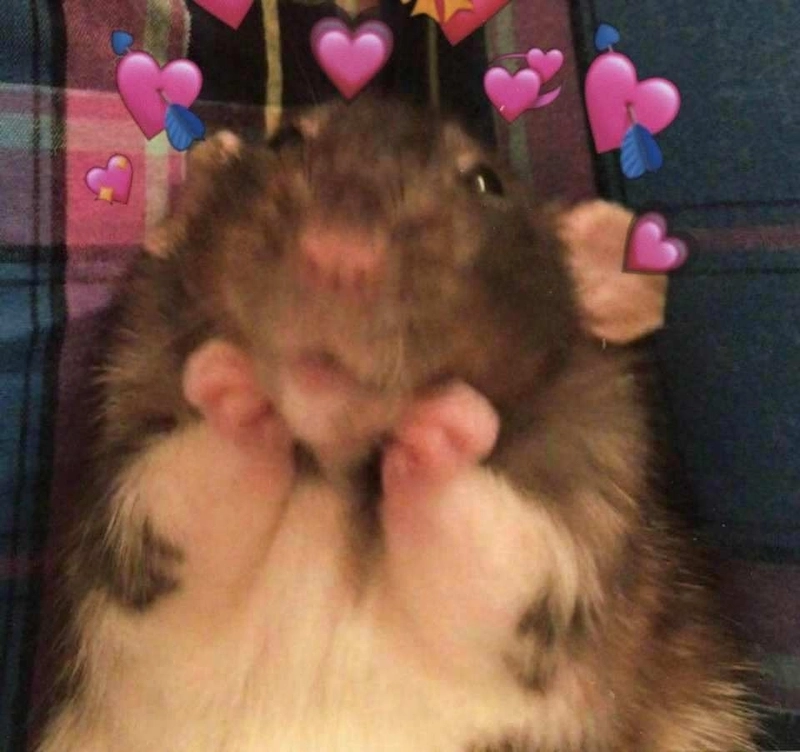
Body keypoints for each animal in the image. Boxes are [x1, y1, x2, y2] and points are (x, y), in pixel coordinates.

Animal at [36, 98, 757, 752]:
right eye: (286, 139)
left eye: (486, 182)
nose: (338, 253)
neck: (334, 469)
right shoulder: (139, 567)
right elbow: (180, 514)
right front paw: (237, 391)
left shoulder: (563, 553)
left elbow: (497, 564)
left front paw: (443, 428)